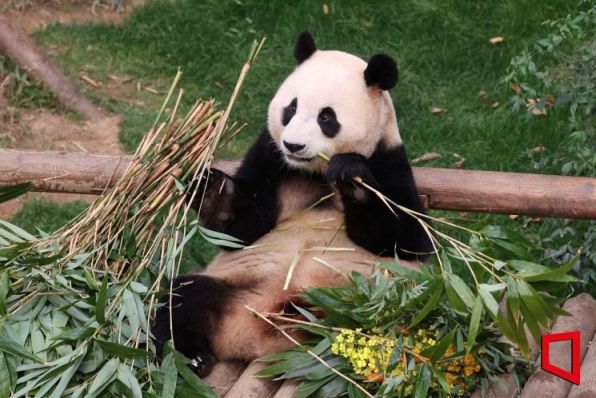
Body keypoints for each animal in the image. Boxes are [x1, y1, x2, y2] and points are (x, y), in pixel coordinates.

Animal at [152, 31, 434, 376]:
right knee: (182, 297)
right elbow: (243, 232)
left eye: (327, 117)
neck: (313, 171)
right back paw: (190, 358)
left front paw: (352, 179)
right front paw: (212, 191)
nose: (293, 145)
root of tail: (257, 340)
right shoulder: (271, 157)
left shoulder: (389, 158)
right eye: (291, 108)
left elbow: (408, 240)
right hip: (232, 287)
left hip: (382, 310)